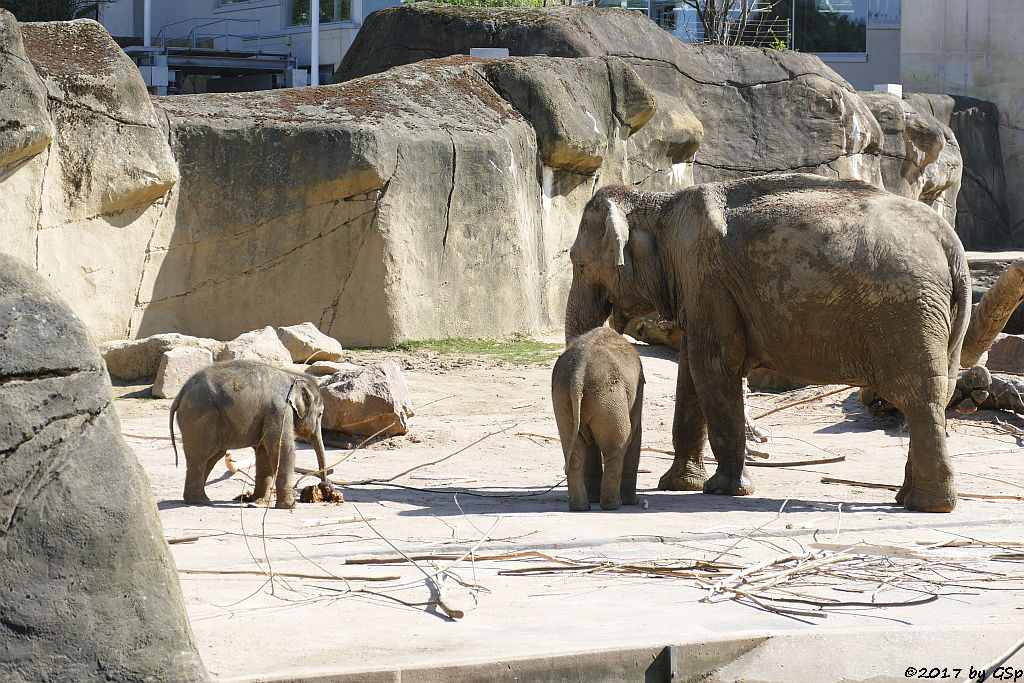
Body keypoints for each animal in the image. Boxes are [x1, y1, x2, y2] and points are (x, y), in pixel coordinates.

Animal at [168, 358, 327, 507]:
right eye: (320, 414)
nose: (324, 485)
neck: (293, 376)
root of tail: (181, 393)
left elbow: (264, 452)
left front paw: (259, 500)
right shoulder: (280, 410)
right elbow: (282, 447)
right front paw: (290, 506)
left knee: (211, 457)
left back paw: (198, 500)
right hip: (200, 419)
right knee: (202, 456)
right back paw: (201, 501)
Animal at [548, 327, 643, 509]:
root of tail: (579, 372)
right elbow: (635, 433)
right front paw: (632, 502)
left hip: (563, 396)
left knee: (573, 447)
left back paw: (581, 507)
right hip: (609, 396)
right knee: (616, 446)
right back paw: (613, 505)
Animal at [565, 174, 970, 509]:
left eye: (579, 264)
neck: (658, 204)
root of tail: (951, 243)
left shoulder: (706, 278)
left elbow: (712, 365)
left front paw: (724, 490)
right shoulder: (700, 287)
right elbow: (692, 372)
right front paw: (679, 485)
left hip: (906, 308)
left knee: (917, 396)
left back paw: (927, 505)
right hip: (938, 315)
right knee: (939, 390)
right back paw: (910, 499)